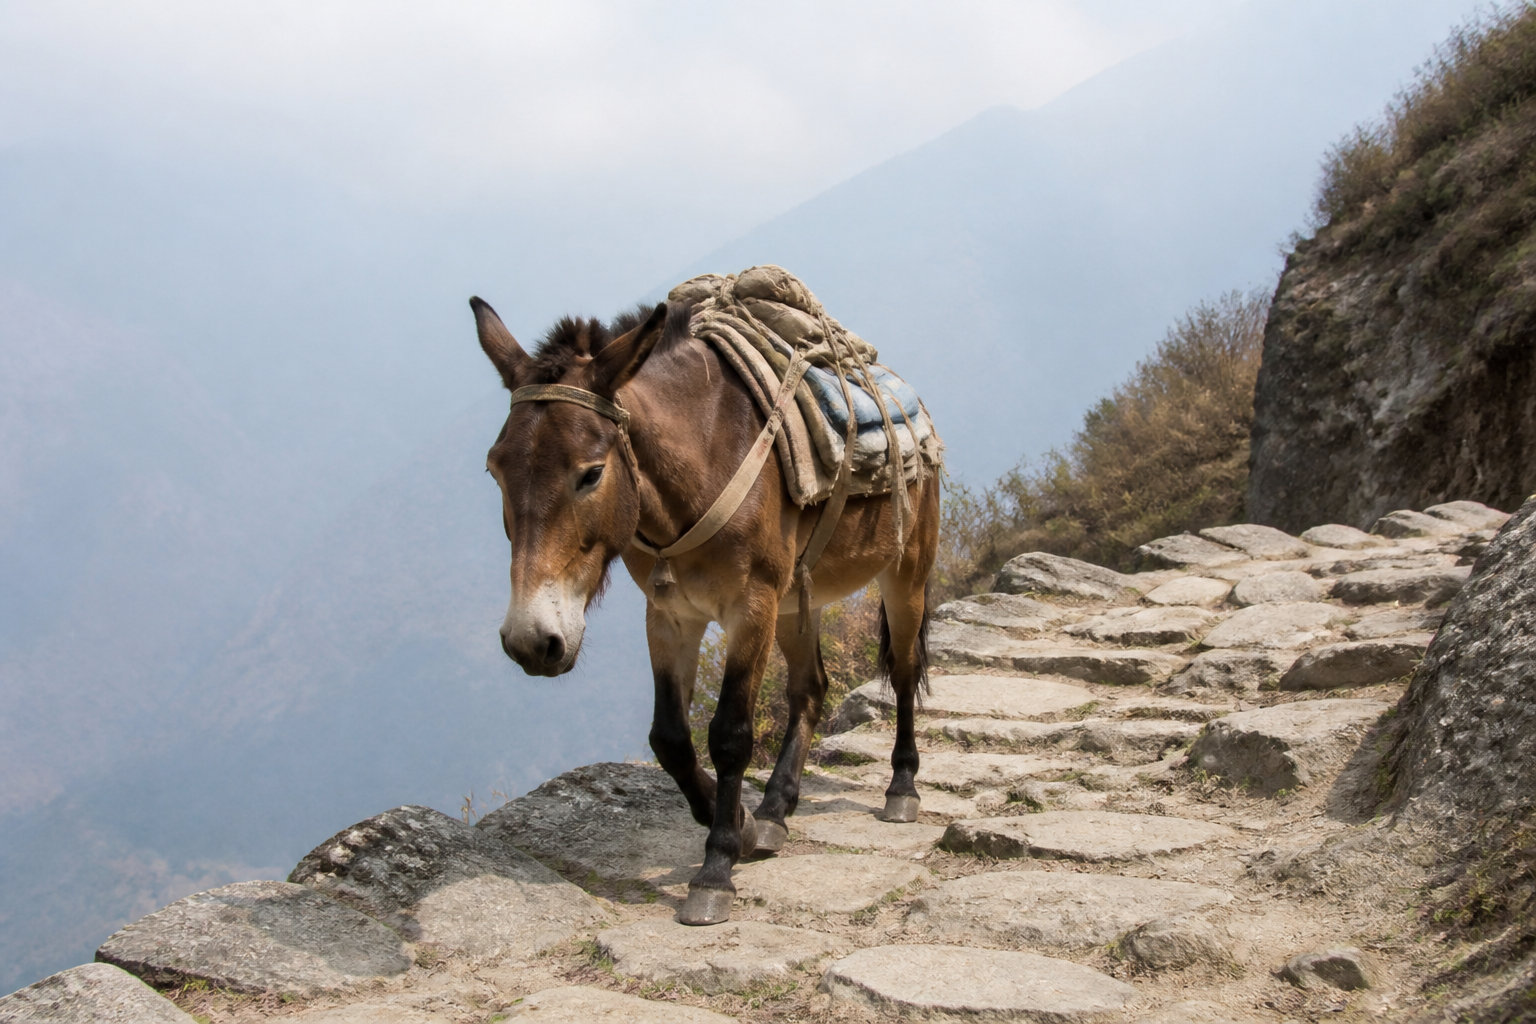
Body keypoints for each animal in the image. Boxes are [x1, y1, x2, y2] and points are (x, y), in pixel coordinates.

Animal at [472, 294, 939, 925]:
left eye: (590, 474)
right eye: (495, 469)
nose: (530, 641)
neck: (700, 462)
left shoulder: (750, 609)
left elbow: (730, 734)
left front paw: (716, 867)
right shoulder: (671, 616)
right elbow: (669, 737)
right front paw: (739, 822)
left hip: (904, 570)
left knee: (905, 671)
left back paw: (901, 788)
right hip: (798, 599)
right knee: (810, 688)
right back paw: (774, 810)